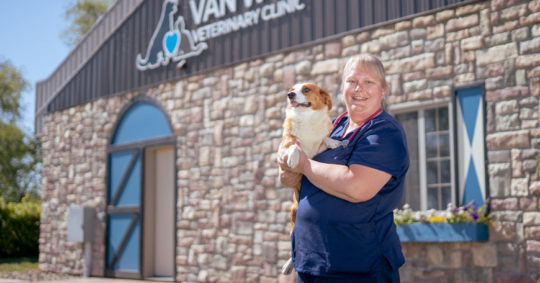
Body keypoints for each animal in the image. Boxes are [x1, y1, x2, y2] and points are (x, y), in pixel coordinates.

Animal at [280, 82, 340, 233]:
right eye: (292, 90)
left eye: (306, 89)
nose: (289, 95)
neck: (306, 118)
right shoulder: (282, 148)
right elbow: (294, 145)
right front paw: (293, 157)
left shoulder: (316, 151)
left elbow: (324, 139)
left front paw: (333, 141)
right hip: (293, 211)